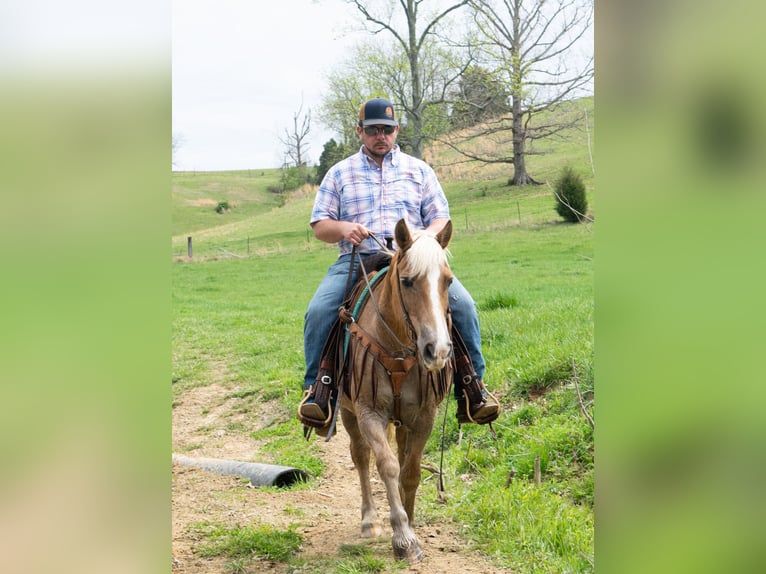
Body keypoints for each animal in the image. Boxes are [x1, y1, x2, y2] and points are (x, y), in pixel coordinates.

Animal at [342, 218, 456, 564]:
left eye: (448, 281)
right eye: (406, 281)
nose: (438, 350)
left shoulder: (423, 416)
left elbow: (411, 470)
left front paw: (412, 522)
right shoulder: (369, 413)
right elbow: (388, 466)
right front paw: (403, 537)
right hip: (347, 412)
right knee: (361, 456)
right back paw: (369, 520)